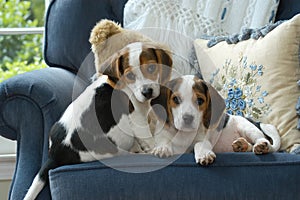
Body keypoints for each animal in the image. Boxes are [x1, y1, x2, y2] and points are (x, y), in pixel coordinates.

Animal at [22, 41, 173, 199]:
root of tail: (55, 154)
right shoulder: (138, 120)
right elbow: (149, 139)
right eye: (130, 75)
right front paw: (159, 148)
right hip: (112, 151)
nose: (147, 91)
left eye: (151, 68)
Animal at [151, 75, 280, 166]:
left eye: (200, 101)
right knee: (250, 147)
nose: (188, 118)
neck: (184, 134)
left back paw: (260, 146)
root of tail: (254, 121)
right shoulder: (162, 135)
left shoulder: (203, 140)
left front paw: (204, 154)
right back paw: (241, 145)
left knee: (265, 143)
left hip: (247, 128)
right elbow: (164, 141)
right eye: (176, 99)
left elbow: (198, 144)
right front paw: (162, 148)